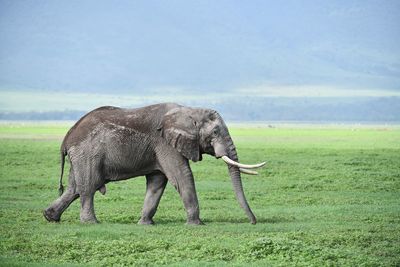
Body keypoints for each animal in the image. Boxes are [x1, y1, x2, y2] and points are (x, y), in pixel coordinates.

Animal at [43, 103, 266, 225]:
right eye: (215, 132)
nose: (253, 222)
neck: (189, 110)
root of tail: (66, 138)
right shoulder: (165, 144)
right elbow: (182, 176)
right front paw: (197, 224)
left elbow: (157, 183)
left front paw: (145, 224)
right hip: (87, 153)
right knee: (88, 187)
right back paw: (91, 222)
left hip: (80, 156)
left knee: (74, 188)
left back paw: (50, 217)